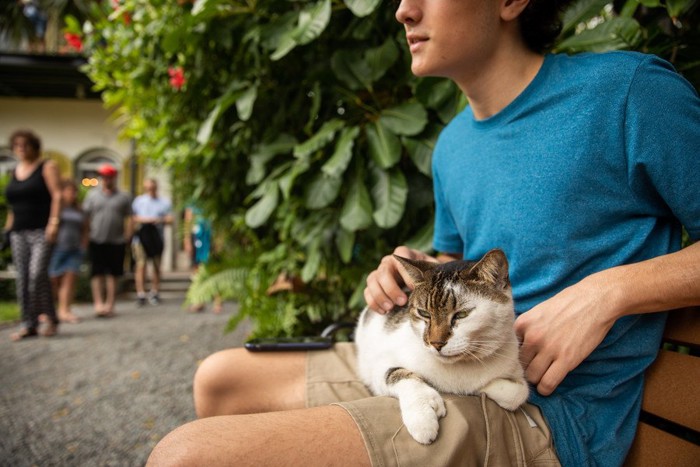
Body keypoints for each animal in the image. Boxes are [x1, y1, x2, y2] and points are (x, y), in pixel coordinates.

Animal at [352, 250, 528, 444]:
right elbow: (398, 375)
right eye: (424, 313)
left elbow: (518, 393)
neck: (459, 367)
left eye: (462, 314)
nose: (436, 343)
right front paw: (422, 418)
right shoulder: (378, 365)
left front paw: (479, 388)